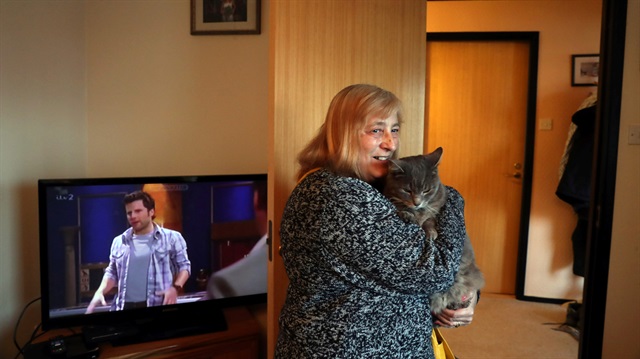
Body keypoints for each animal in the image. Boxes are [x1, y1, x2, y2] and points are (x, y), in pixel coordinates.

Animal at [384, 148, 484, 314]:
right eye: (407, 190)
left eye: (426, 190)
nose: (416, 203)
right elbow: (405, 210)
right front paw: (408, 215)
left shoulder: (434, 210)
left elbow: (429, 220)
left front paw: (431, 232)